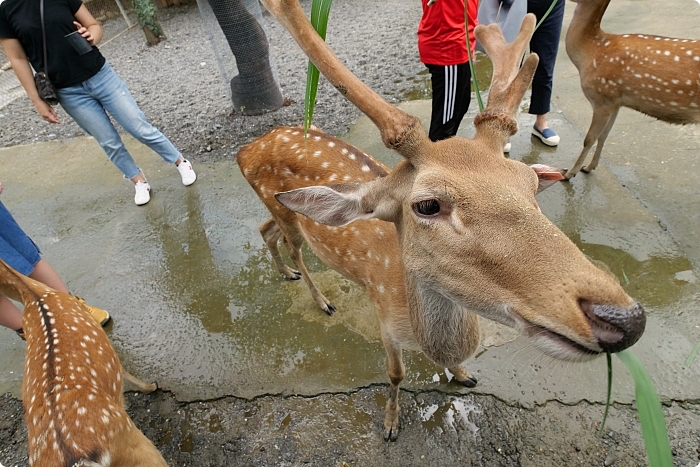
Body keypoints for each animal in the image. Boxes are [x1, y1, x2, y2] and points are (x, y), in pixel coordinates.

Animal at [239, 1, 644, 442]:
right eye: (428, 205)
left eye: (532, 184)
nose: (626, 319)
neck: (416, 329)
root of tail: (245, 150)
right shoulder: (383, 317)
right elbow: (395, 374)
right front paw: (391, 424)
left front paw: (463, 374)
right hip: (285, 213)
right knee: (293, 246)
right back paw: (320, 299)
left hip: (277, 210)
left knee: (264, 231)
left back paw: (285, 274)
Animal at [564, 0, 700, 179]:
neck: (590, 53)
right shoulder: (616, 101)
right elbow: (604, 136)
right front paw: (589, 167)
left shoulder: (603, 97)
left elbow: (589, 138)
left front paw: (570, 172)